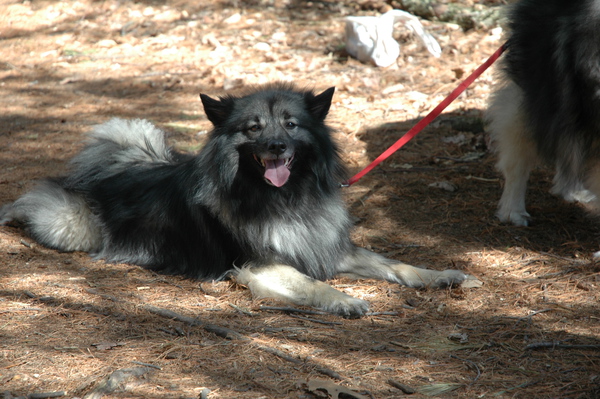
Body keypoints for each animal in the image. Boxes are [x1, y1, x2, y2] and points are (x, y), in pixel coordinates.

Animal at [0, 83, 468, 318]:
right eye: (253, 128)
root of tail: (119, 165)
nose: (277, 146)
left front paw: (441, 275)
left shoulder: (330, 249)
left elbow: (396, 264)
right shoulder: (260, 265)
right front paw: (343, 300)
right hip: (71, 225)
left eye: (291, 124)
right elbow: (311, 283)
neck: (283, 196)